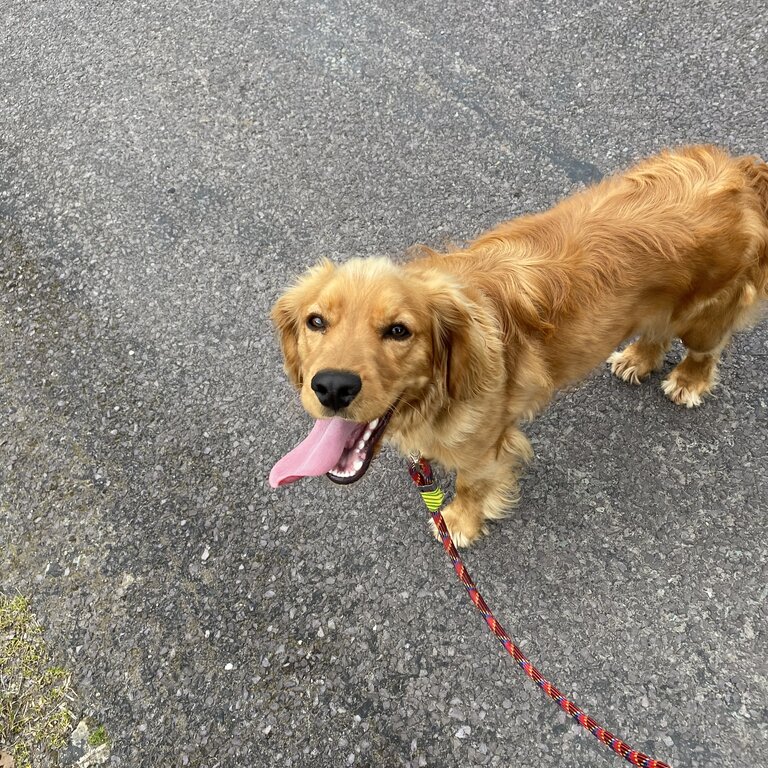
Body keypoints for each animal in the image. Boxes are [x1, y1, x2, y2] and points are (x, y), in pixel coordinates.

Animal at [270, 146, 768, 544]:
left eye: (398, 331)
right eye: (316, 322)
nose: (332, 387)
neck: (437, 393)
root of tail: (739, 170)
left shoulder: (484, 447)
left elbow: (471, 487)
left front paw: (458, 523)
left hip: (706, 313)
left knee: (705, 348)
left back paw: (688, 380)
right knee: (657, 328)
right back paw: (639, 357)